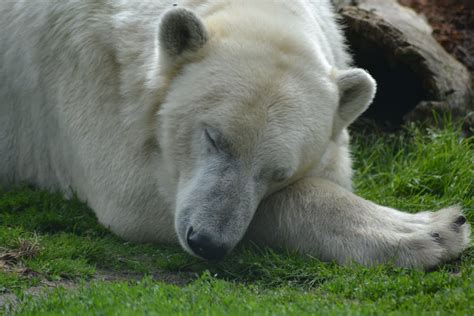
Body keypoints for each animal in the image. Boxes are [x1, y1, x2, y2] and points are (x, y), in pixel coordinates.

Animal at [0, 0, 468, 270]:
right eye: (212, 137)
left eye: (278, 172)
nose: (207, 241)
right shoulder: (86, 64)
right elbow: (129, 193)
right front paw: (430, 230)